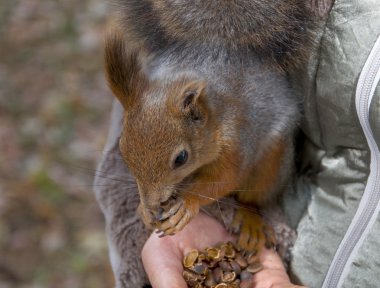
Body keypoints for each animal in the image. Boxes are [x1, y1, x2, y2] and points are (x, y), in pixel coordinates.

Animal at [104, 0, 314, 252]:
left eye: (181, 158)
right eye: (123, 151)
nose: (153, 203)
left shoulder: (236, 142)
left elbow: (225, 178)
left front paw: (186, 203)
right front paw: (144, 210)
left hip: (272, 163)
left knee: (254, 196)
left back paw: (250, 220)